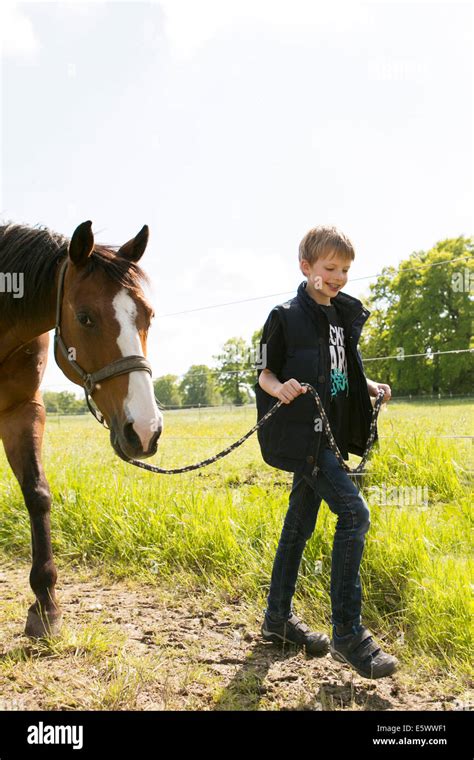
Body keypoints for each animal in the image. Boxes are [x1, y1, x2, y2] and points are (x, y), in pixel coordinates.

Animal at [0, 218, 163, 636]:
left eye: (148, 316)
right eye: (86, 317)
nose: (145, 430)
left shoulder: (23, 411)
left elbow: (37, 494)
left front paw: (45, 604)